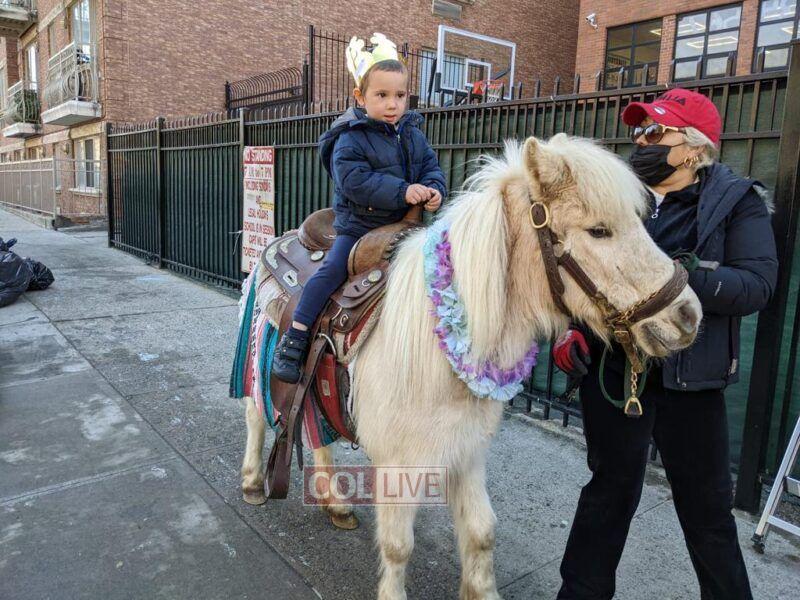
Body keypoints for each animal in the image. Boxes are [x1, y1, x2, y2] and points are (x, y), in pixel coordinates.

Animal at [237, 133, 702, 599]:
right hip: (260, 360)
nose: (688, 316)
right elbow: (398, 545)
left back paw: (335, 503)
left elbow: (481, 532)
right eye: (599, 230)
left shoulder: (468, 450)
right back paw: (253, 482)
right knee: (257, 415)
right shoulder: (399, 461)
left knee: (318, 433)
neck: (439, 353)